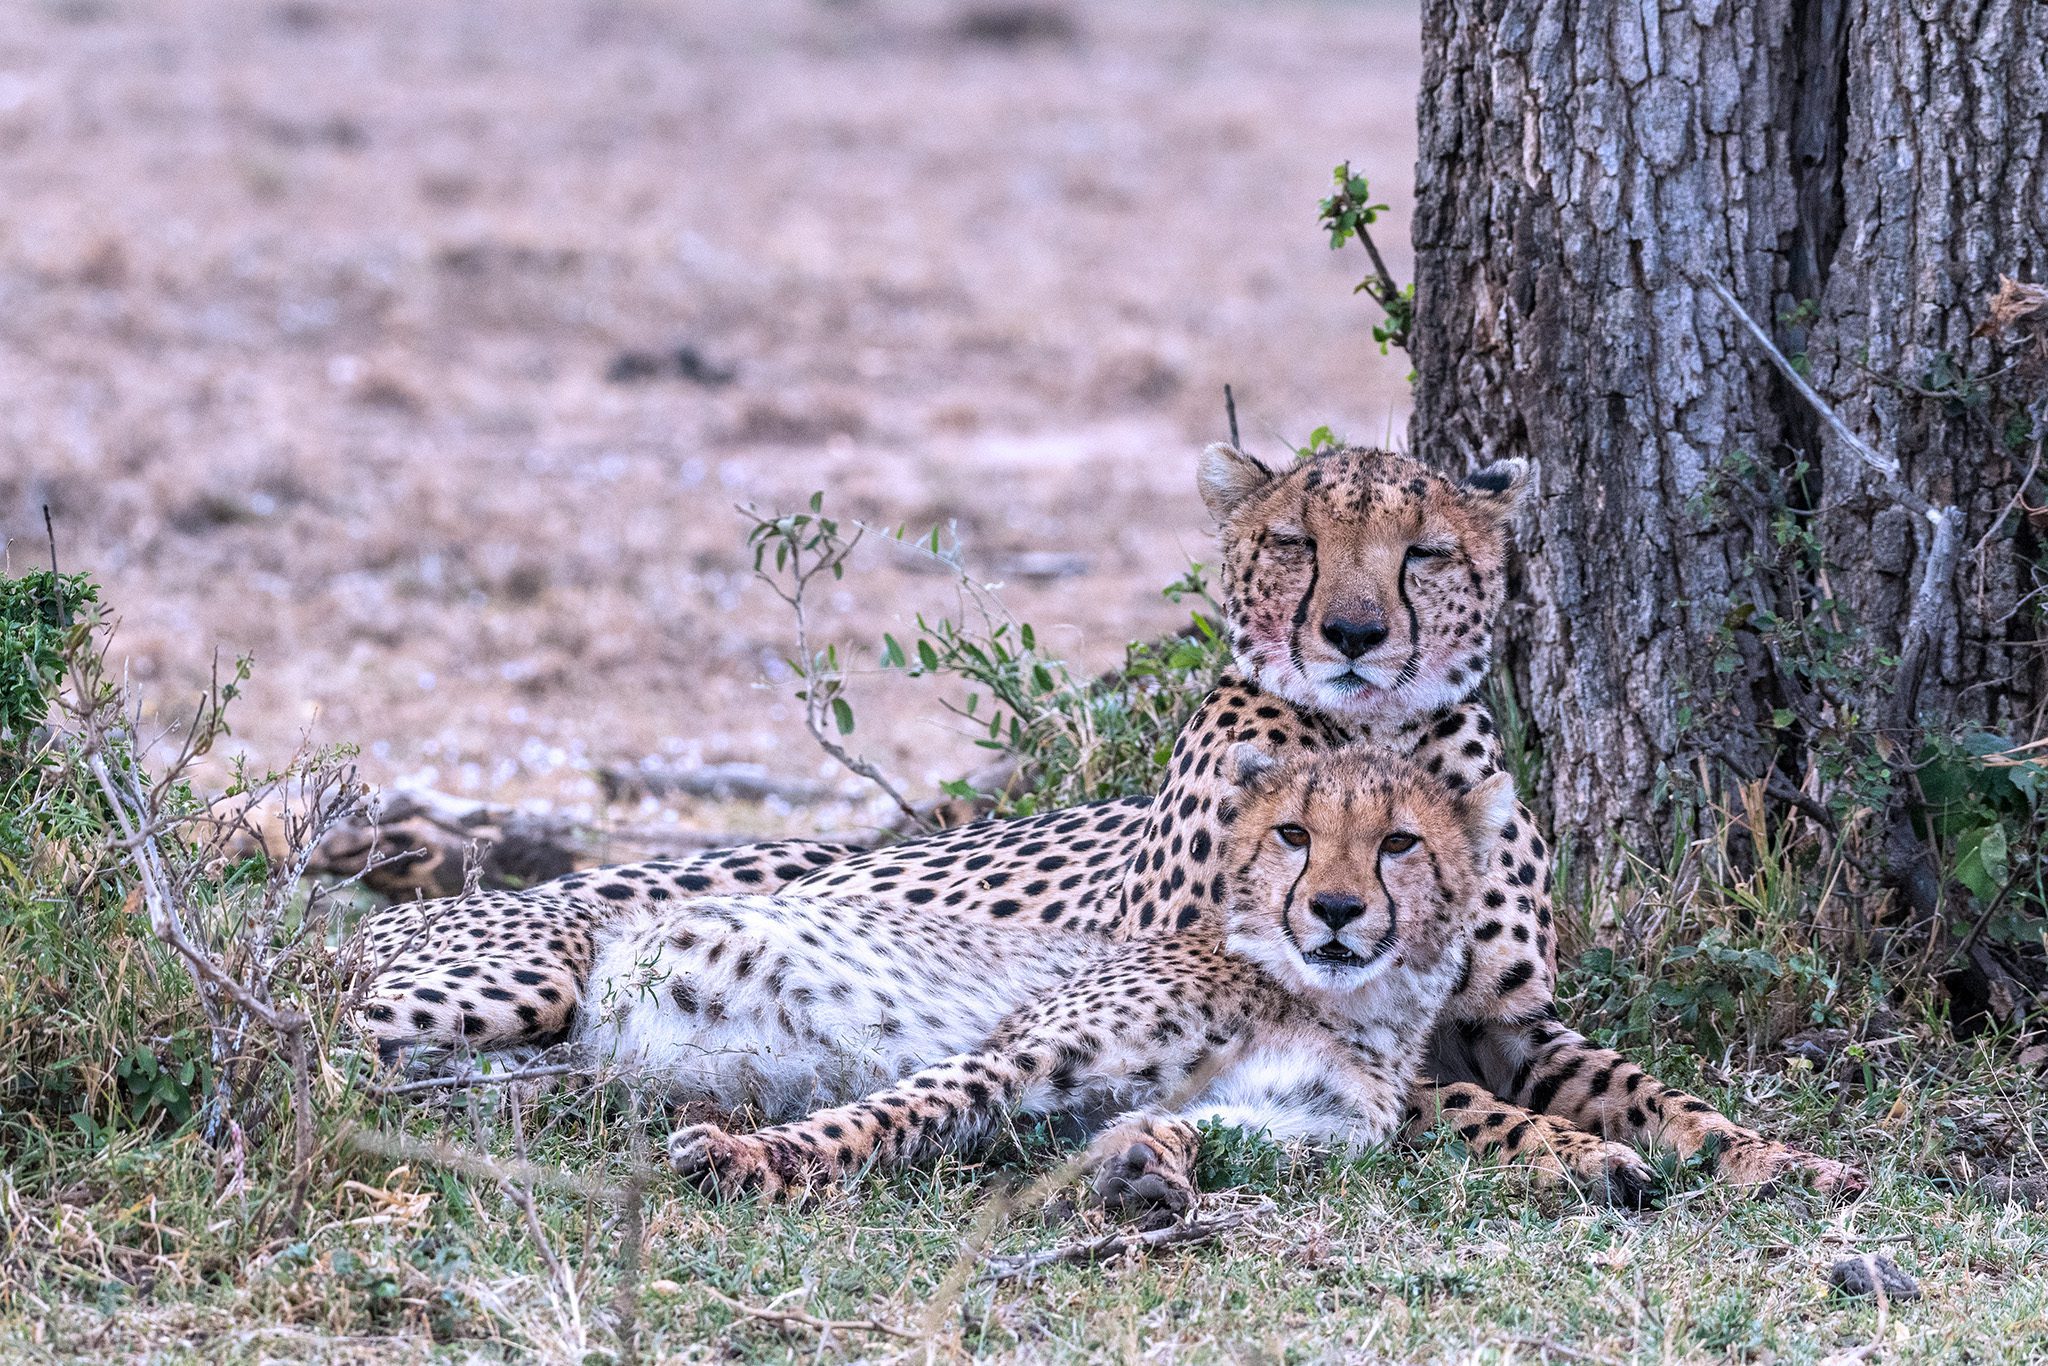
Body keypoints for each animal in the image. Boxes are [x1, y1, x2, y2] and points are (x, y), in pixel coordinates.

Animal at [348, 446, 1859, 1196]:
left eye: (1423, 551)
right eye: (1297, 542)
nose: (1354, 634)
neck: (1376, 739)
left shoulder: (1509, 1018)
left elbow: (1649, 1088)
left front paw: (1766, 1153)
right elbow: (1482, 1111)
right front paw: (1577, 1154)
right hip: (519, 972)